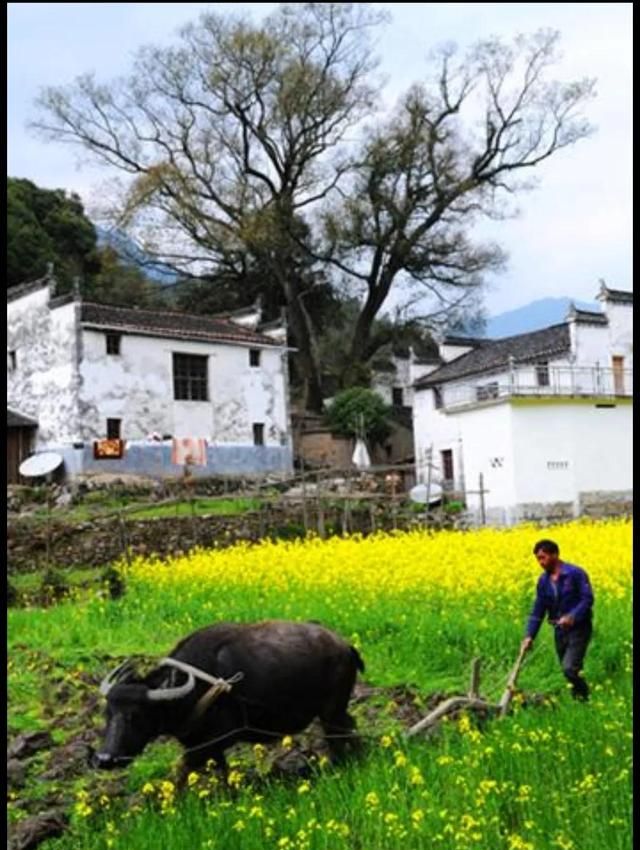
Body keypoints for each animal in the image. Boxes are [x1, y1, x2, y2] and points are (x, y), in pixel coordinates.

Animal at [94, 620, 364, 780]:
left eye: (135, 716)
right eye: (107, 714)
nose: (105, 759)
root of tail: (345, 646)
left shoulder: (211, 742)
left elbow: (180, 772)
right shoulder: (205, 745)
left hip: (331, 711)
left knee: (339, 736)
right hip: (336, 711)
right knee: (350, 728)